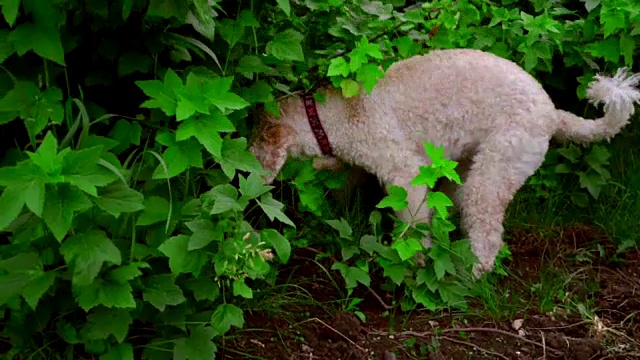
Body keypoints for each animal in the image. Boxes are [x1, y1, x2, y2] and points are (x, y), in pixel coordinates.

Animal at [249, 48, 640, 276]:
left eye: (254, 145)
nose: (245, 178)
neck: (335, 116)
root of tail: (553, 114)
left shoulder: (404, 174)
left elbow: (411, 225)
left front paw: (412, 260)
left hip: (494, 173)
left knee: (487, 235)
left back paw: (472, 276)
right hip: (469, 166)